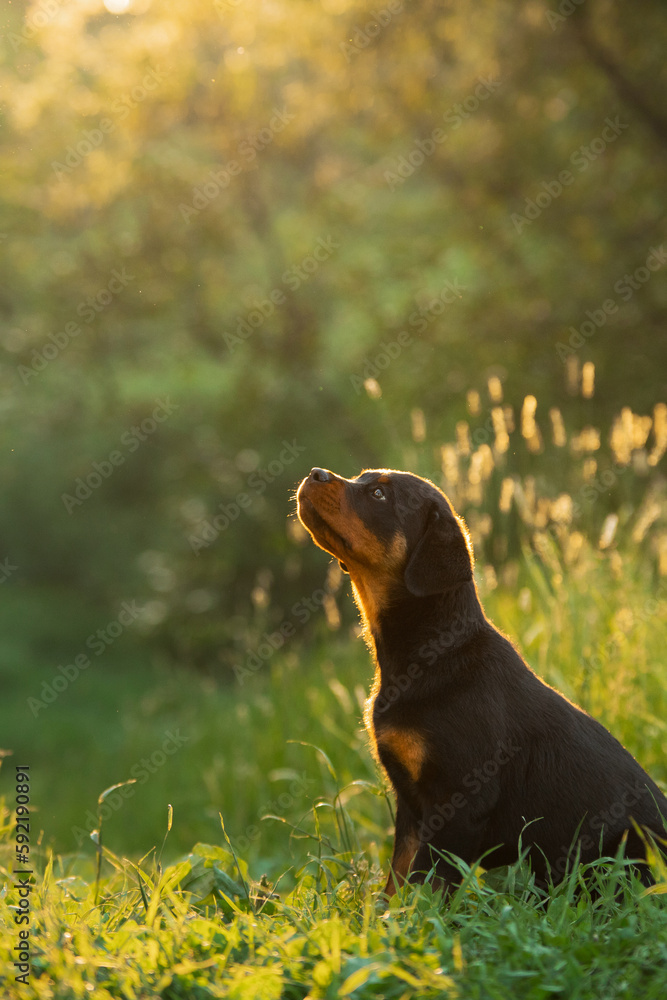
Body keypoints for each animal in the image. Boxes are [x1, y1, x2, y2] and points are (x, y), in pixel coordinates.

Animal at [298, 464, 667, 896]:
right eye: (362, 478)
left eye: (378, 495)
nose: (315, 473)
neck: (427, 651)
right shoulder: (411, 807)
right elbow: (399, 880)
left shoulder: (459, 800)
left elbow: (428, 883)